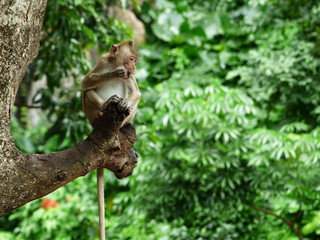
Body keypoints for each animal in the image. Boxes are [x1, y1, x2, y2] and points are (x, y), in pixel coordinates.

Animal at [81, 40, 140, 239]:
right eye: (131, 59)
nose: (134, 67)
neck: (114, 63)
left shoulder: (131, 77)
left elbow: (136, 94)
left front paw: (125, 102)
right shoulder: (102, 61)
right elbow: (86, 82)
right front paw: (116, 74)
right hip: (92, 115)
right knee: (88, 91)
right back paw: (106, 105)